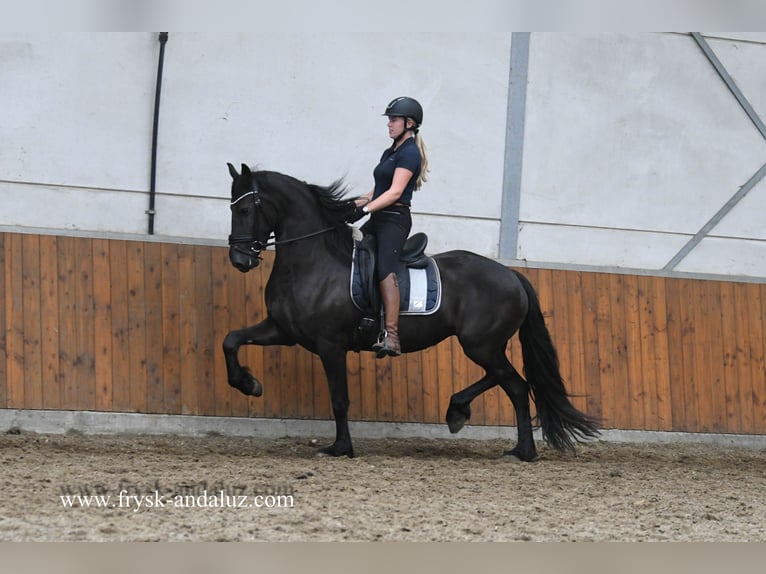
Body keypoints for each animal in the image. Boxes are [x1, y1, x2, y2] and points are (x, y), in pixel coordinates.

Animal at [222, 164, 600, 462]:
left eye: (245, 210)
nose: (240, 260)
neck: (314, 260)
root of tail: (512, 275)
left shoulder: (330, 345)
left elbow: (339, 399)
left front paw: (341, 448)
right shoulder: (282, 331)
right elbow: (231, 339)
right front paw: (248, 384)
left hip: (480, 344)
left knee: (516, 387)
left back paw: (521, 450)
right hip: (484, 345)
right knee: (506, 380)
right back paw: (463, 414)